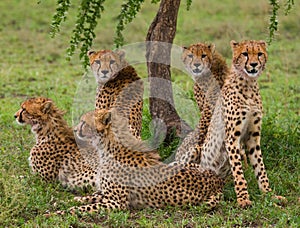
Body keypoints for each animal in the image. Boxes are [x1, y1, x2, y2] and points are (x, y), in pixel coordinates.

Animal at [48, 108, 223, 216]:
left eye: (84, 122)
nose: (74, 130)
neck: (106, 147)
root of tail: (217, 178)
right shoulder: (106, 194)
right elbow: (89, 197)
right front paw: (62, 202)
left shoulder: (116, 203)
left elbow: (81, 208)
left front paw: (57, 212)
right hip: (178, 163)